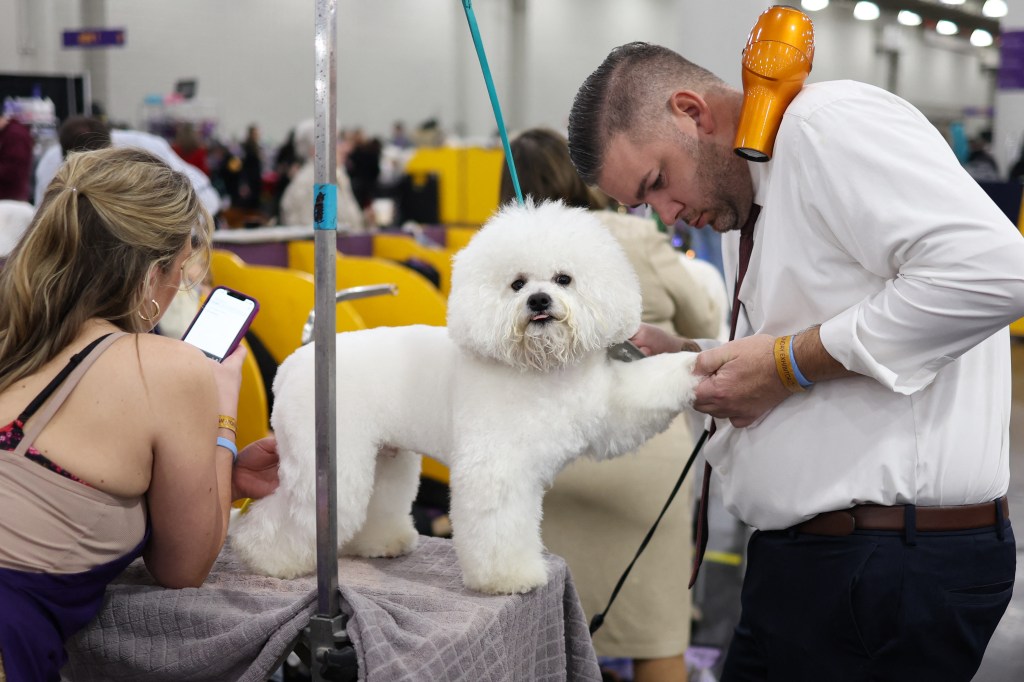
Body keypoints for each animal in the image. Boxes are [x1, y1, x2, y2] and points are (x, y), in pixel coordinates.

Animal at [230, 199, 696, 593]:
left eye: (564, 278)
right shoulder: (497, 468)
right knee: (285, 515)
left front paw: (697, 368)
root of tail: (294, 363)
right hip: (327, 466)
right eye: (517, 284)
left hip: (383, 457)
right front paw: (508, 578)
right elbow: (499, 526)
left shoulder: (607, 411)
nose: (539, 300)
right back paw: (267, 559)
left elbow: (641, 395)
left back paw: (381, 543)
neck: (538, 369)